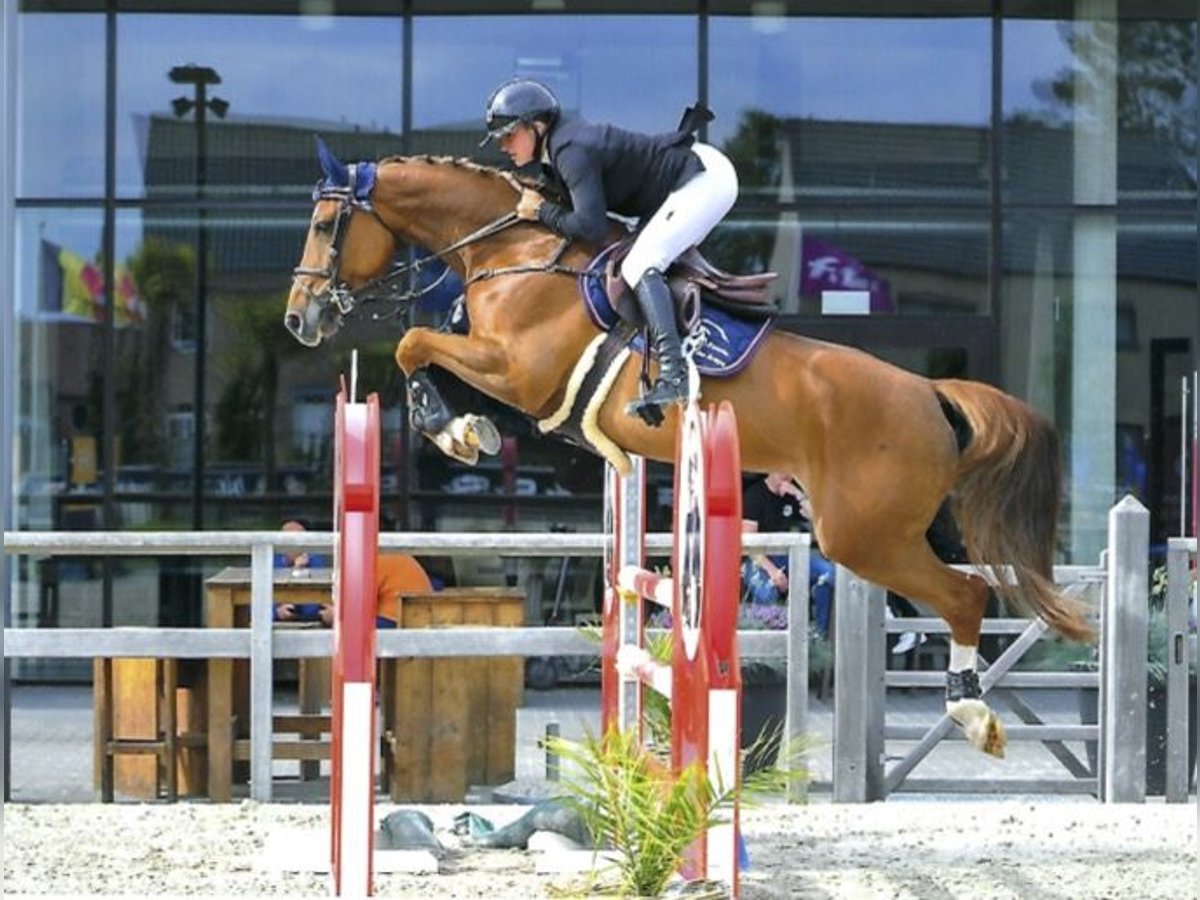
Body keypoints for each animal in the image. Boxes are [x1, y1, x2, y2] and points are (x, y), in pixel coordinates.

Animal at [285, 141, 1094, 763]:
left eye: (325, 224)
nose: (299, 319)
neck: (514, 250)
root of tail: (930, 392)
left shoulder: (520, 373)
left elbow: (414, 343)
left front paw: (452, 429)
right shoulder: (508, 375)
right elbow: (428, 351)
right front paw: (462, 430)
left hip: (862, 534)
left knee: (965, 595)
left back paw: (973, 714)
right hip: (885, 528)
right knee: (963, 589)